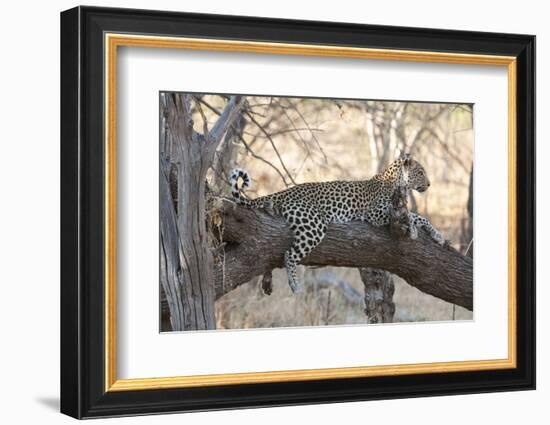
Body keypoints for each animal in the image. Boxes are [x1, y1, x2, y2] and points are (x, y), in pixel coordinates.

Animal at [231, 154, 446, 294]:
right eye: (420, 172)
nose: (429, 184)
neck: (397, 182)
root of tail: (285, 191)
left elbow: (419, 217)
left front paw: (437, 236)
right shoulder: (375, 214)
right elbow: (413, 216)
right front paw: (415, 231)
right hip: (314, 226)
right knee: (289, 254)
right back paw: (295, 285)